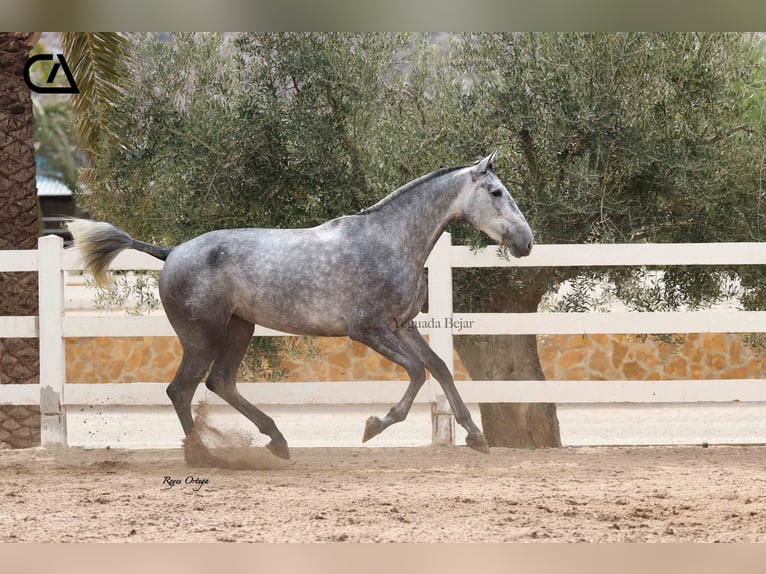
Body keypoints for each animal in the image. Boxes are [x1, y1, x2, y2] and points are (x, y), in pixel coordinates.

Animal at [66, 152, 536, 464]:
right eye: (496, 192)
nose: (526, 242)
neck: (388, 241)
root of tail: (170, 253)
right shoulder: (368, 329)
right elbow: (418, 372)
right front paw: (374, 426)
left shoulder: (402, 325)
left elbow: (439, 368)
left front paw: (475, 435)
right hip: (202, 337)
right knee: (181, 389)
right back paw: (205, 456)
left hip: (240, 329)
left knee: (220, 383)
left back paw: (277, 441)